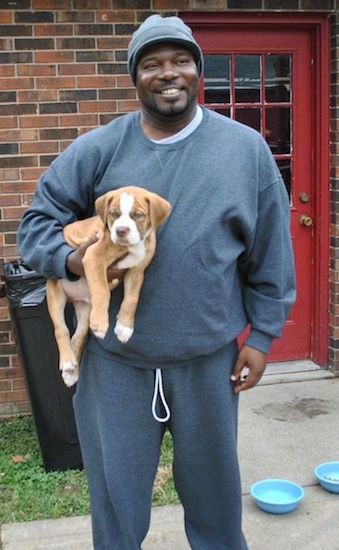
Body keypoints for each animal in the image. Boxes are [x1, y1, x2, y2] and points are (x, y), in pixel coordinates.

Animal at [46, 188, 171, 390]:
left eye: (138, 215)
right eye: (114, 214)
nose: (121, 231)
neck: (132, 246)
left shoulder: (136, 271)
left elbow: (132, 299)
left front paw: (124, 327)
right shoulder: (92, 258)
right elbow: (102, 291)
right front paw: (100, 323)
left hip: (85, 309)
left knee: (79, 335)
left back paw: (72, 372)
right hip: (55, 293)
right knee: (61, 329)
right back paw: (67, 361)